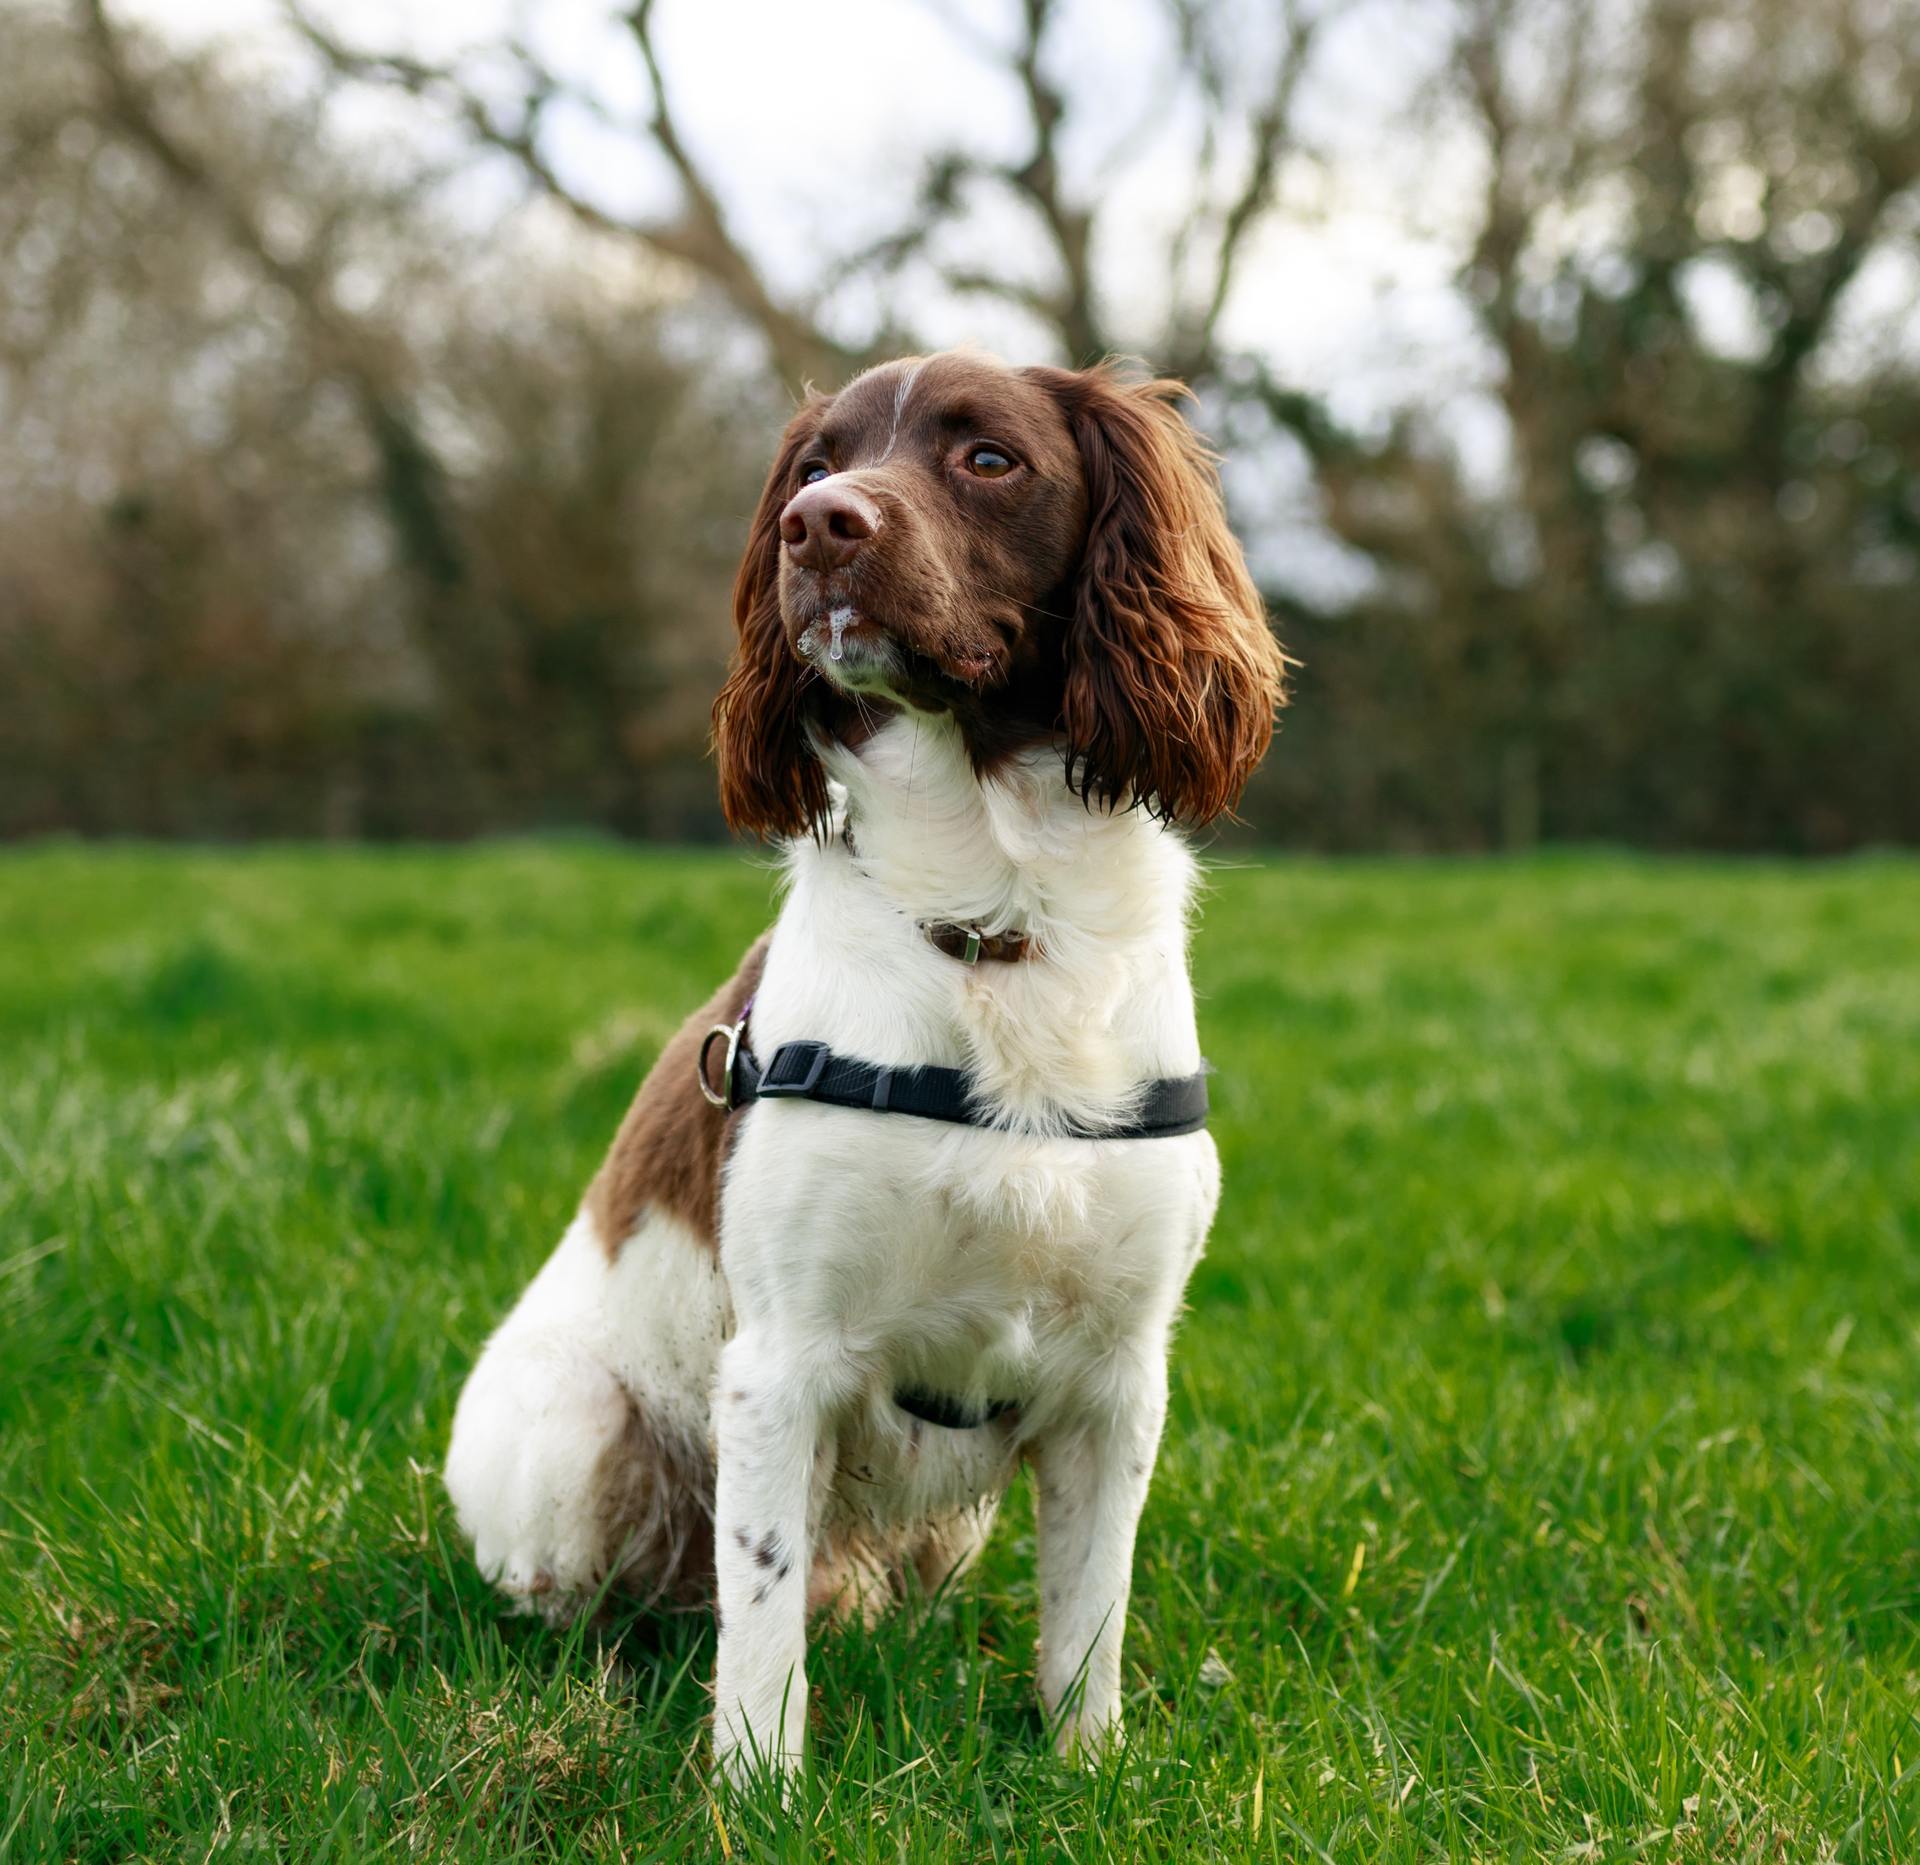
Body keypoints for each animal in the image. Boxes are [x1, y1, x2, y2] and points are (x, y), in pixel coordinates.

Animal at [445, 345, 1290, 1782]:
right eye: (813, 463)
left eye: (988, 457)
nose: (818, 525)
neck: (998, 929)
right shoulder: (781, 1362)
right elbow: (761, 1620)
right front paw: (758, 1789)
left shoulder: (1119, 1380)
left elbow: (1089, 1620)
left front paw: (1087, 1772)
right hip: (577, 1438)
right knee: (622, 1601)